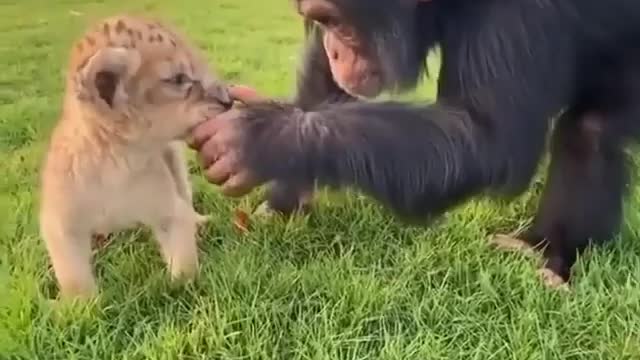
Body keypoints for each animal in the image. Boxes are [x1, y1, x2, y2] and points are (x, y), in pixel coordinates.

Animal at [190, 0, 640, 286]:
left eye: (337, 21)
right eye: (323, 22)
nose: (335, 49)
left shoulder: (522, 11)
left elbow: (486, 136)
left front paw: (263, 139)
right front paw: (284, 197)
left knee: (589, 131)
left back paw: (545, 250)